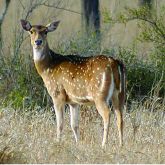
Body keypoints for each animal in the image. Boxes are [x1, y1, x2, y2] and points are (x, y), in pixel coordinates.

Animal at [21, 19, 126, 147]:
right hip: (120, 94)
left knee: (107, 114)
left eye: (45, 31)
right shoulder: (73, 101)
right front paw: (78, 143)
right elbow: (74, 125)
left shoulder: (57, 94)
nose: (38, 41)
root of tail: (114, 64)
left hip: (100, 95)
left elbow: (60, 123)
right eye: (31, 31)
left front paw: (58, 142)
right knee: (120, 117)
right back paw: (121, 144)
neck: (47, 68)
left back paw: (103, 144)